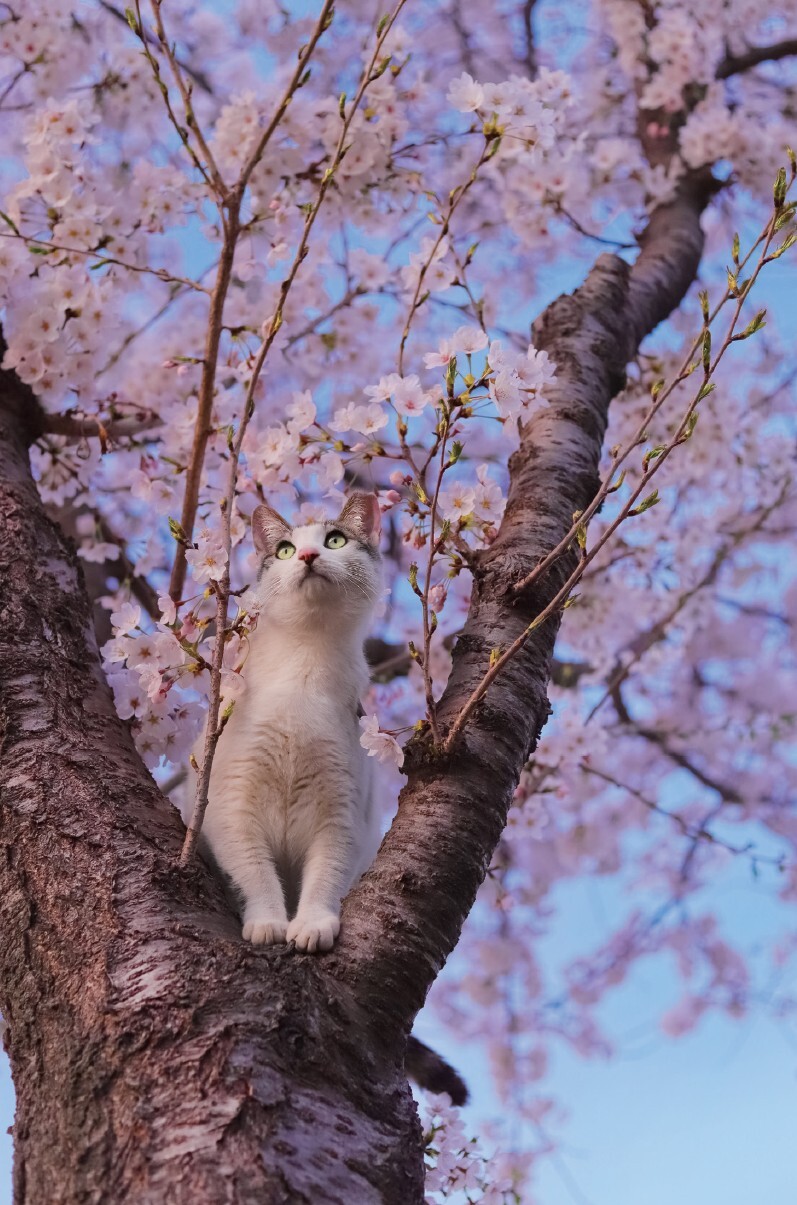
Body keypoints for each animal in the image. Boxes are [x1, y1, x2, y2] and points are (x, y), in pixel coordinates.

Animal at [186, 489, 385, 949]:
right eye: (285, 550)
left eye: (335, 541)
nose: (309, 555)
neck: (304, 670)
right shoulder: (232, 806)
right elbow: (255, 873)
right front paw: (268, 924)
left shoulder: (343, 814)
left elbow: (326, 875)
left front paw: (311, 925)